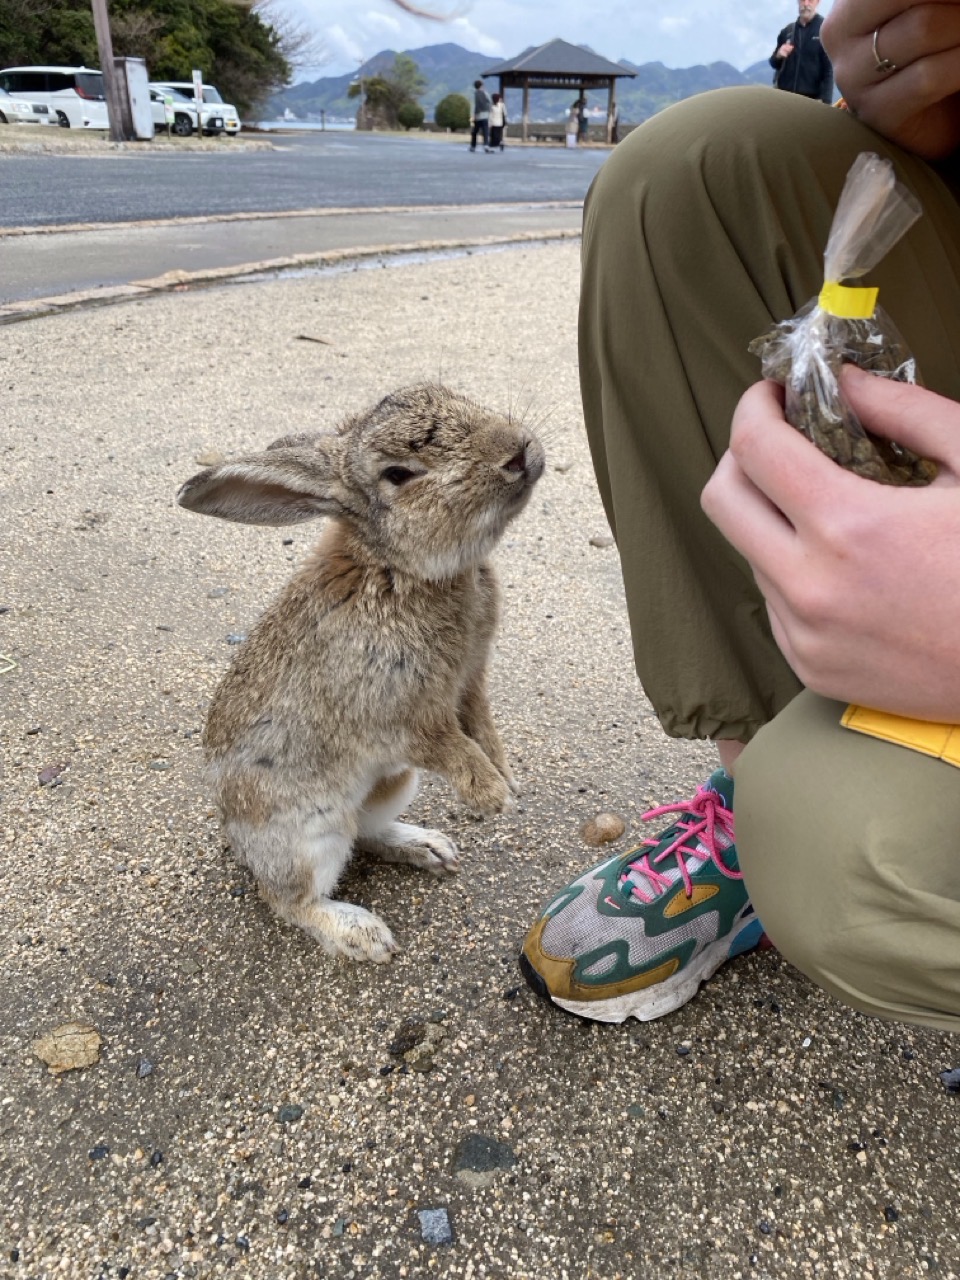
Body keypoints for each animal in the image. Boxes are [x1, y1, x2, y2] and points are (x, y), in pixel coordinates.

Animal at [177, 384, 545, 962]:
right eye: (398, 474)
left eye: (450, 393)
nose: (517, 450)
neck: (398, 569)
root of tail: (238, 843)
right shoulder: (404, 715)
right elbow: (452, 747)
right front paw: (493, 797)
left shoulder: (469, 682)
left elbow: (482, 727)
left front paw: (506, 779)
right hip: (310, 835)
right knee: (291, 899)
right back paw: (363, 935)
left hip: (393, 785)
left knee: (366, 833)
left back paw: (428, 848)